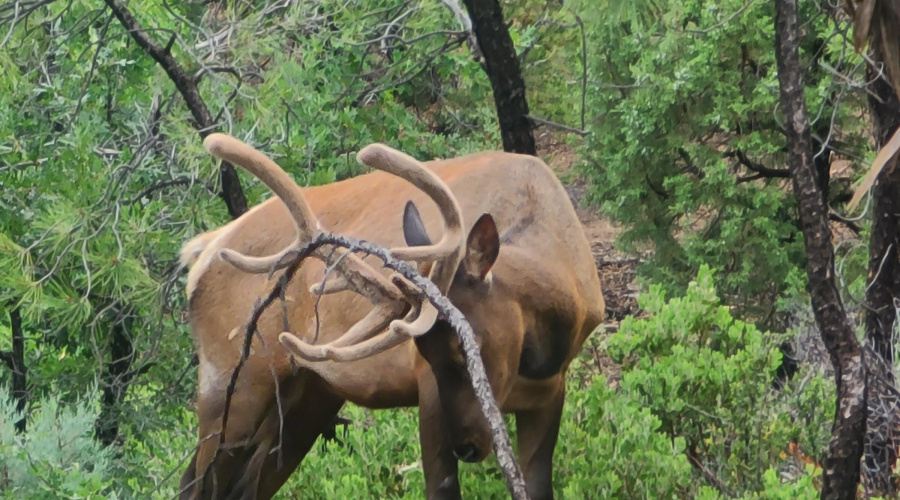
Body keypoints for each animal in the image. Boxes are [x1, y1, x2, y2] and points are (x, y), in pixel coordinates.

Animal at [177, 133, 604, 500]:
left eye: (468, 344)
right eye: (427, 351)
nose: (467, 446)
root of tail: (202, 250)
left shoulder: (550, 392)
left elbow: (538, 487)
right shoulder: (427, 386)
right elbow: (441, 487)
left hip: (308, 394)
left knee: (246, 486)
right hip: (232, 379)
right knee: (195, 482)